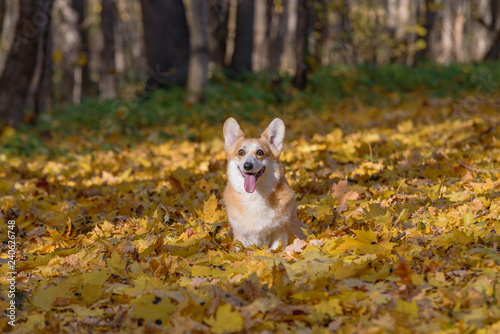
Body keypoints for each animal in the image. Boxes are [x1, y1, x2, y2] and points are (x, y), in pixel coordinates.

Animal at [223, 117, 308, 248]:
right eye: (241, 152)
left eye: (260, 152)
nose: (247, 166)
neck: (254, 195)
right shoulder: (239, 237)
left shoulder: (280, 234)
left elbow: (274, 250)